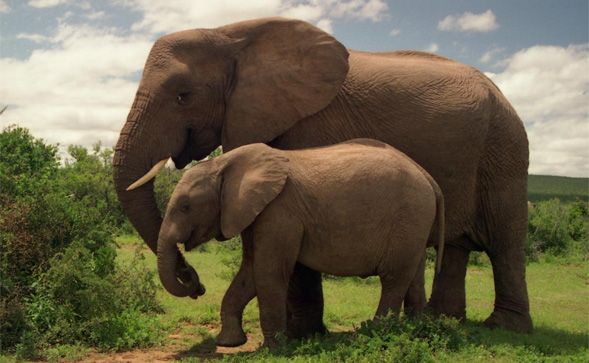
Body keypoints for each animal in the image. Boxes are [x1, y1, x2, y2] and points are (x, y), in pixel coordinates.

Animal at [158, 138, 444, 348]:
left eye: (185, 207)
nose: (198, 288)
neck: (223, 164)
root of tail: (429, 178)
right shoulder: (254, 213)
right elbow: (249, 272)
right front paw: (229, 343)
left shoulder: (279, 212)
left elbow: (268, 272)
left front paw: (274, 349)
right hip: (415, 224)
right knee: (414, 274)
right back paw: (415, 328)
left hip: (408, 217)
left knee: (394, 278)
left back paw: (374, 333)